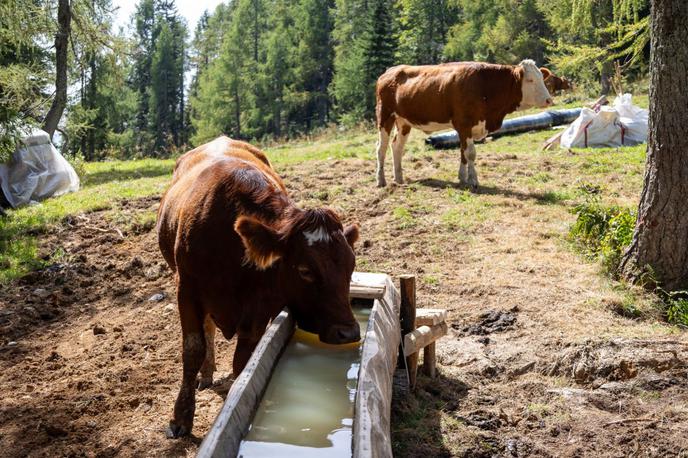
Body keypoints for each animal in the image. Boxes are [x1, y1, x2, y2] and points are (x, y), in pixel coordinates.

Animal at [156, 137, 360, 440]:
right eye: (305, 271)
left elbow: (245, 362)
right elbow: (193, 349)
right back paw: (206, 374)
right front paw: (180, 418)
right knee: (207, 329)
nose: (349, 332)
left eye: (351, 266)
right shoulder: (187, 289)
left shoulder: (260, 307)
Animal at [376, 58, 552, 190]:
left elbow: (463, 152)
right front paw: (473, 181)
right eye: (530, 80)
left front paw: (462, 178)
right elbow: (471, 153)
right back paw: (381, 180)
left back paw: (399, 179)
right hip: (385, 116)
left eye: (542, 78)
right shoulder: (464, 123)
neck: (485, 86)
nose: (549, 100)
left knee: (397, 146)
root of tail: (389, 71)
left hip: (403, 122)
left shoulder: (466, 127)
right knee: (381, 147)